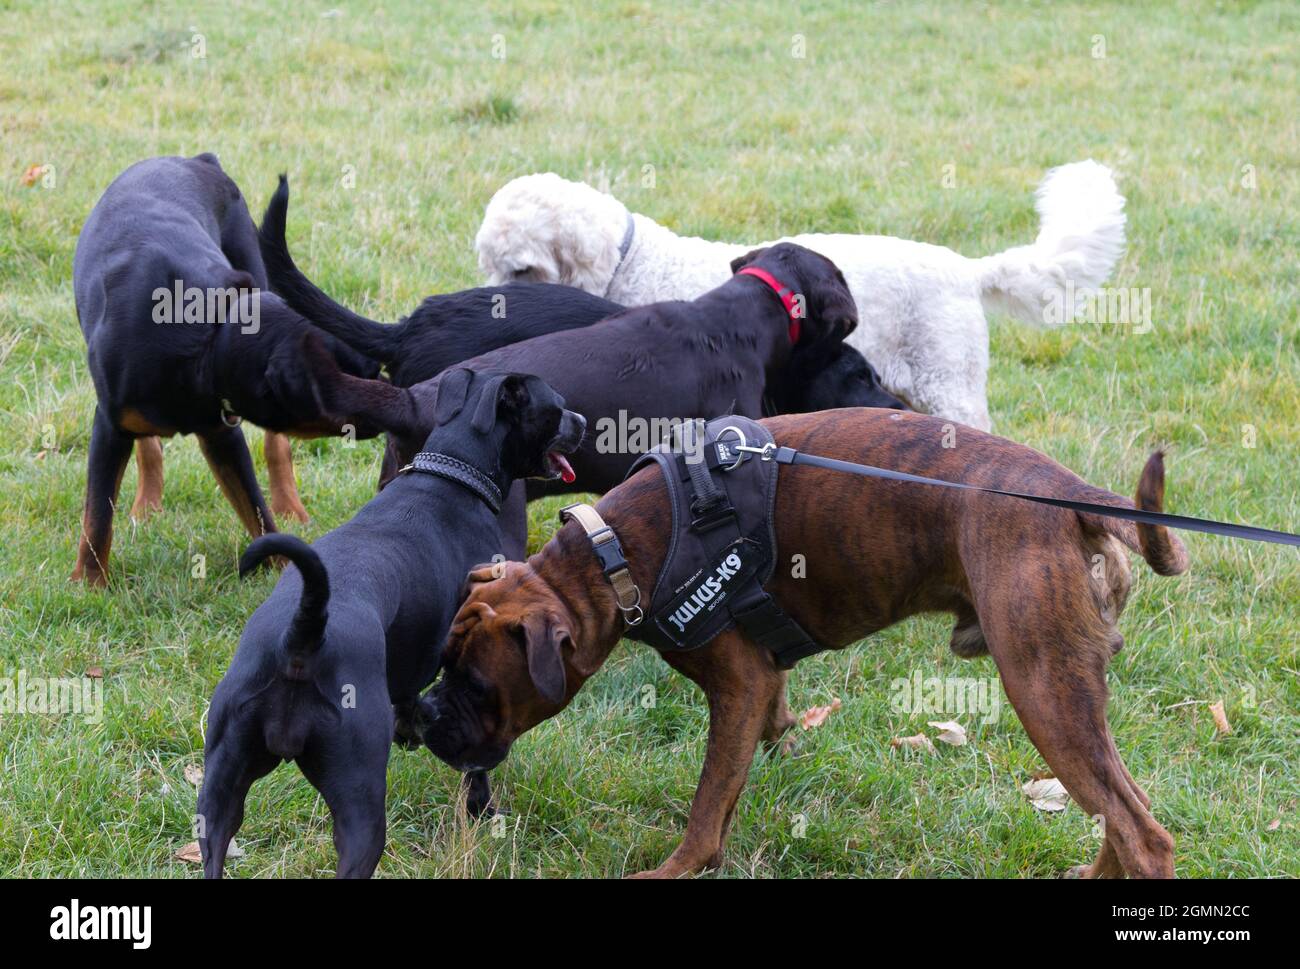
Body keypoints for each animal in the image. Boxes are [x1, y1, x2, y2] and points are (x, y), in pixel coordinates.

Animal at [69, 154, 395, 585]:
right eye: (362, 377)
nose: (399, 395)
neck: (207, 339)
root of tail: (198, 160)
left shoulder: (222, 432)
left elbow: (255, 507)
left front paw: (282, 565)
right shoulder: (109, 425)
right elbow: (98, 515)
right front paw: (89, 583)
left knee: (277, 446)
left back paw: (290, 504)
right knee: (147, 446)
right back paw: (147, 506)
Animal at [197, 364, 585, 879]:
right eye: (556, 406)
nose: (584, 421)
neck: (451, 474)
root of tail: (302, 637)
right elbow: (477, 764)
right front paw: (482, 810)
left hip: (218, 796)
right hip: (360, 804)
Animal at [416, 408, 1190, 879]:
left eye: (478, 686)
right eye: (442, 665)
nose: (424, 715)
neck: (609, 558)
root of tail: (1072, 496)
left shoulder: (738, 687)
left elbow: (707, 805)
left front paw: (677, 869)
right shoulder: (764, 687)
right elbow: (758, 748)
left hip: (1041, 685)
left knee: (1142, 832)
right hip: (1069, 694)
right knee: (1122, 809)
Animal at [473, 163, 1123, 431]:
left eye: (522, 268)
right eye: (487, 263)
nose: (484, 305)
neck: (633, 262)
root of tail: (966, 268)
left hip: (951, 387)